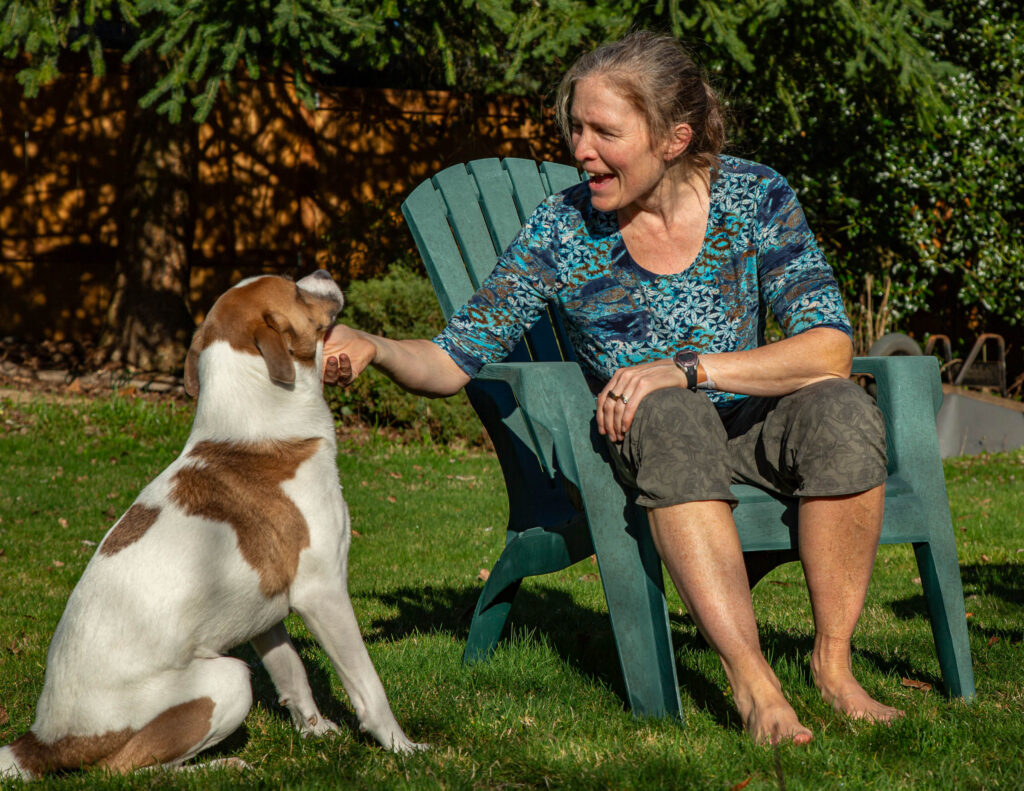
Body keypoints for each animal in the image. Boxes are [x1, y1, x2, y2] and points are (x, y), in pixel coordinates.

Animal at [0, 270, 423, 778]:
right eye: (295, 289)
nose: (322, 273)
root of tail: (40, 741)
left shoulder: (265, 611)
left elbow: (293, 674)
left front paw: (316, 733)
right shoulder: (322, 593)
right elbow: (368, 686)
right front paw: (401, 748)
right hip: (229, 679)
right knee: (127, 769)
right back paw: (224, 766)